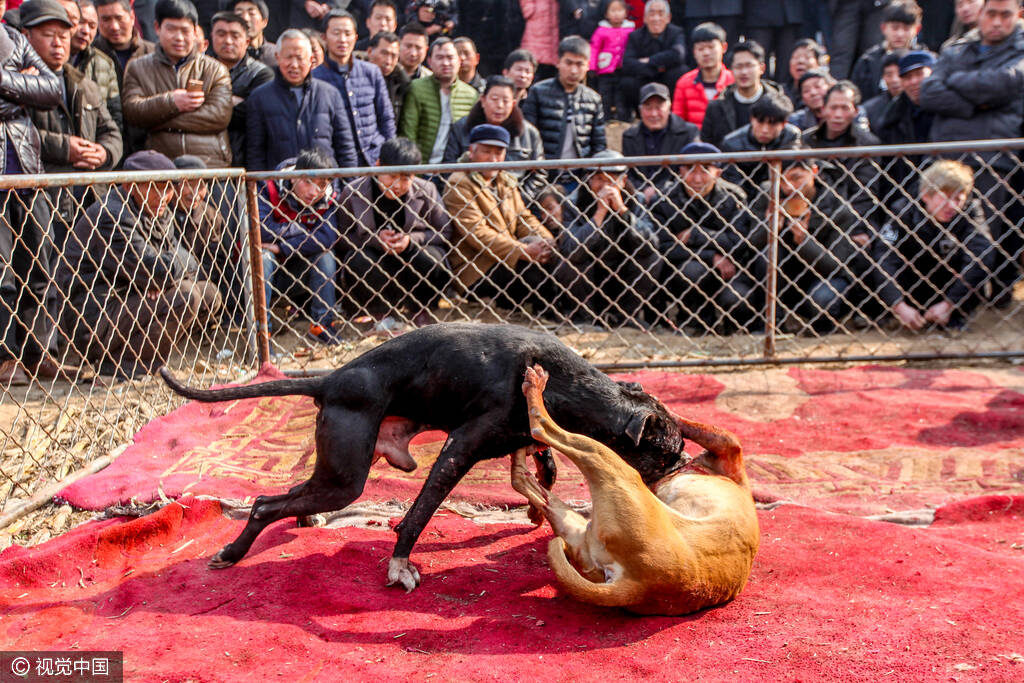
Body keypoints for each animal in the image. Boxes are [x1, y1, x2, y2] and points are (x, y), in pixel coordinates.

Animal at [159, 323, 688, 589]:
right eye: (669, 452)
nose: (686, 465)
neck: (570, 384)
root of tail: (330, 380)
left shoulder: (523, 438)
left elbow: (546, 467)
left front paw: (538, 509)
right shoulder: (459, 450)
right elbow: (420, 511)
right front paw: (399, 563)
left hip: (339, 468)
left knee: (289, 494)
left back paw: (302, 522)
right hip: (345, 479)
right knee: (265, 502)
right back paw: (233, 553)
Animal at [512, 366, 761, 618]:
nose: (681, 461)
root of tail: (638, 585)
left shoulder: (727, 444)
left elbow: (679, 418)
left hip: (608, 463)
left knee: (542, 426)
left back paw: (535, 387)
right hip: (582, 526)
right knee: (532, 487)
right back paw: (520, 468)